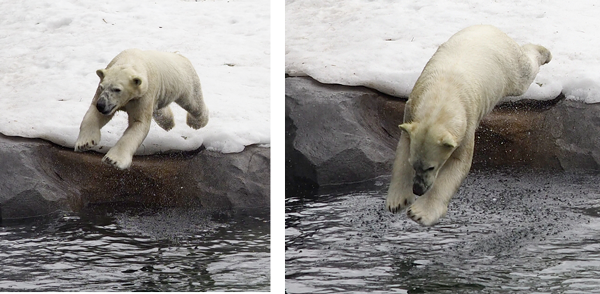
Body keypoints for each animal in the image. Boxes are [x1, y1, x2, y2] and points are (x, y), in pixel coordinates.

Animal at [74, 48, 209, 170]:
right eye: (102, 87)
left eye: (117, 89)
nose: (101, 105)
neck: (129, 60)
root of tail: (179, 55)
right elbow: (94, 114)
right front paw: (84, 143)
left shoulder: (143, 94)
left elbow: (139, 123)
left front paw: (113, 160)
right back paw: (168, 123)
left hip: (185, 81)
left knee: (193, 103)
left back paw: (196, 123)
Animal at [386, 25, 552, 227]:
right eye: (414, 163)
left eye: (431, 167)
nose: (417, 189)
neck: (442, 96)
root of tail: (489, 28)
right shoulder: (412, 109)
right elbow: (403, 146)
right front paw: (397, 201)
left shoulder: (466, 123)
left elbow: (459, 163)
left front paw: (420, 213)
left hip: (508, 66)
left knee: (524, 73)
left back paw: (544, 52)